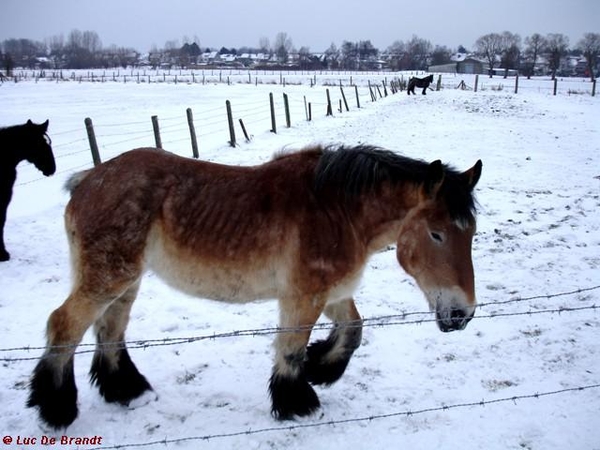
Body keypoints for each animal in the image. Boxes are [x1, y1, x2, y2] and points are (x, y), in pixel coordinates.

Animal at [28, 144, 482, 428]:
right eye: (437, 234)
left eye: (471, 232)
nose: (462, 315)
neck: (337, 211)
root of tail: (88, 179)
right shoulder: (304, 296)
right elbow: (291, 348)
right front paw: (297, 403)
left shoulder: (332, 292)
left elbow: (352, 331)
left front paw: (320, 369)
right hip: (108, 278)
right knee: (64, 325)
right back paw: (56, 409)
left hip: (127, 282)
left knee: (109, 330)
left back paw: (127, 391)